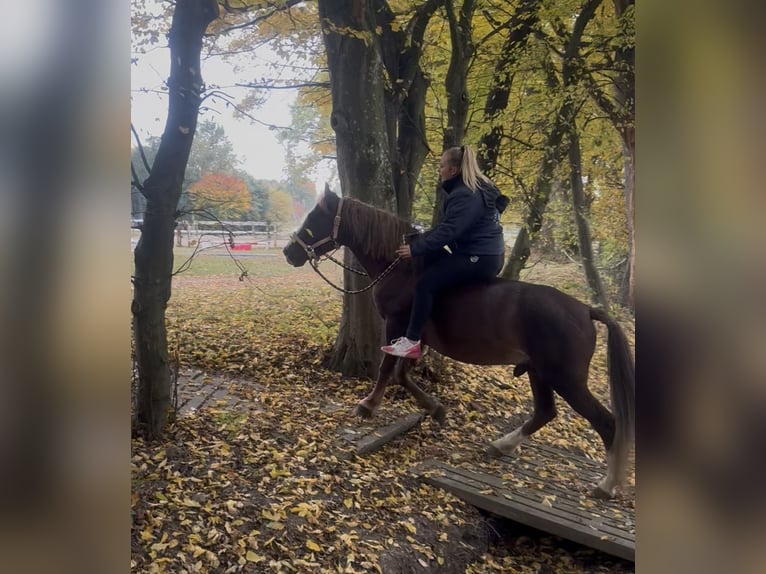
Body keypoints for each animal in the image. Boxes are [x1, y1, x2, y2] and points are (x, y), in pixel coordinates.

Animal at [283, 187, 635, 498]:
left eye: (315, 217)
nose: (289, 252)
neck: (404, 269)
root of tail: (585, 310)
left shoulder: (397, 325)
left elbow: (386, 369)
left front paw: (368, 405)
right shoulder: (417, 338)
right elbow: (402, 374)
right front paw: (435, 408)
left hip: (565, 378)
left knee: (607, 423)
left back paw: (606, 485)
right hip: (539, 371)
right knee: (545, 412)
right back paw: (503, 445)